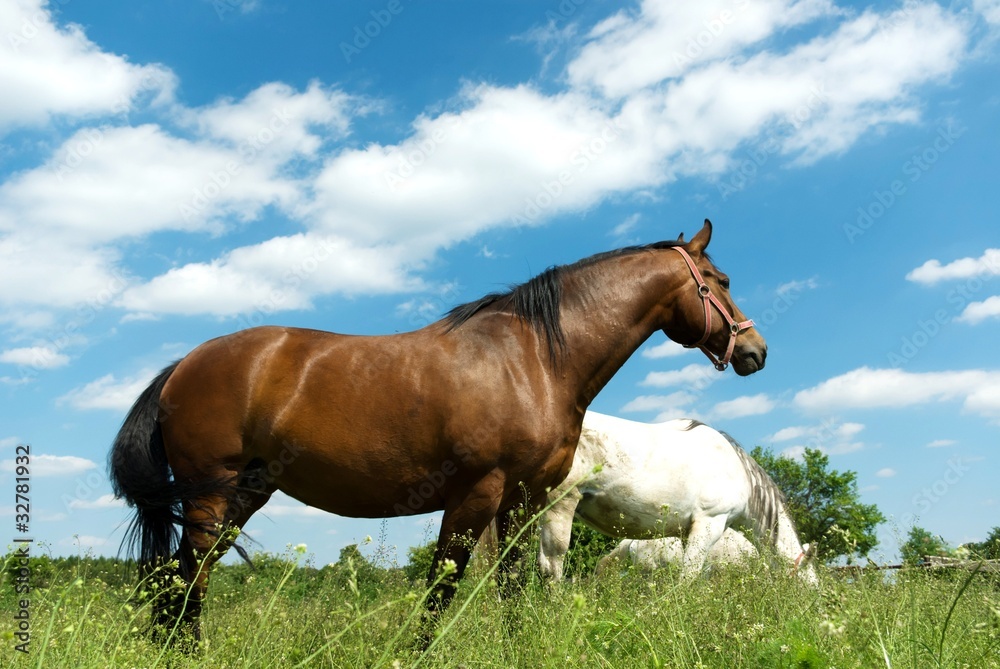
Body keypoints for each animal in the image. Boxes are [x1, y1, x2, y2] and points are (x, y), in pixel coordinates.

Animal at [108, 220, 767, 640]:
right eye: (723, 281)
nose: (755, 351)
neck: (532, 358)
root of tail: (183, 366)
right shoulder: (476, 492)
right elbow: (440, 591)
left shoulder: (521, 500)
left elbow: (511, 590)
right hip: (209, 496)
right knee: (186, 580)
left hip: (244, 492)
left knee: (184, 580)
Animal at [538, 412, 818, 585]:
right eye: (809, 584)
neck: (739, 473)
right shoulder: (710, 523)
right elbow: (688, 577)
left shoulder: (689, 533)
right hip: (560, 505)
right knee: (551, 566)